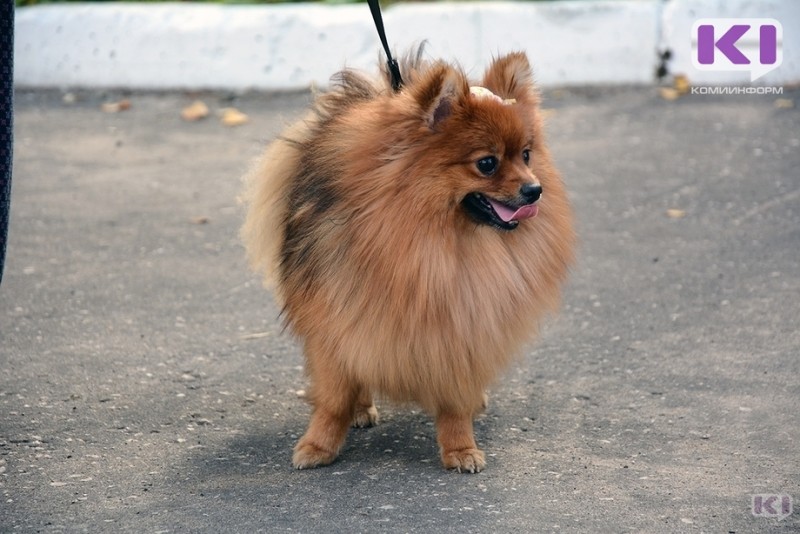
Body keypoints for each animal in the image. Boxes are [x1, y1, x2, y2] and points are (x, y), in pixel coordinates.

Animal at [241, 48, 572, 476]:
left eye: (527, 155)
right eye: (487, 163)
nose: (535, 190)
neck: (432, 242)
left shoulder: (461, 326)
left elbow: (454, 401)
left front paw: (460, 447)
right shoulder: (334, 320)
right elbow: (333, 396)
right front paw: (319, 443)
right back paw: (360, 409)